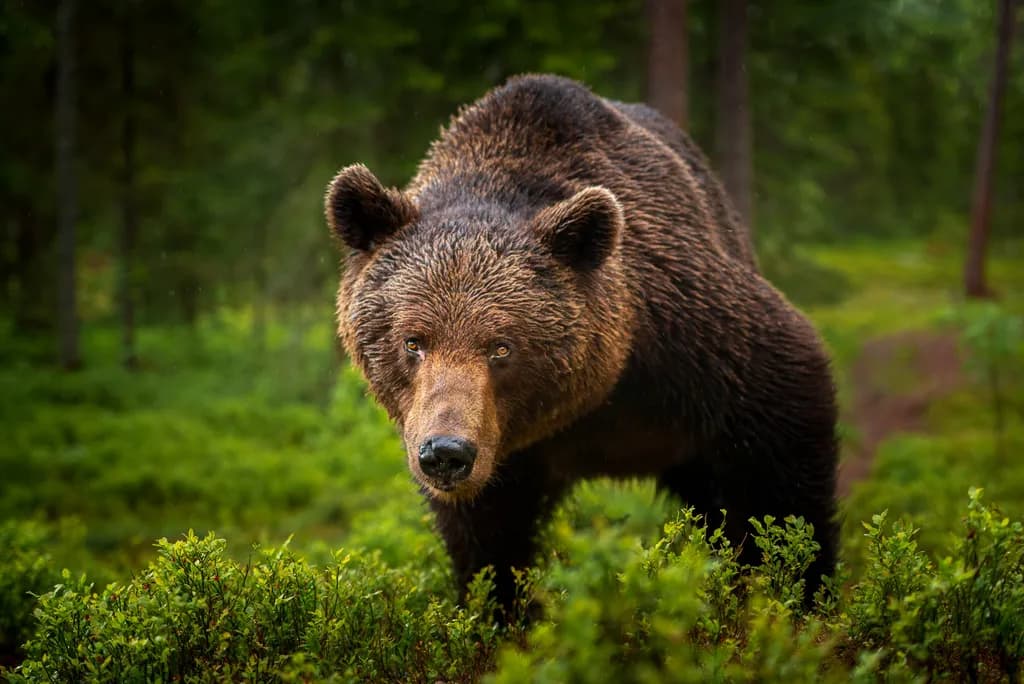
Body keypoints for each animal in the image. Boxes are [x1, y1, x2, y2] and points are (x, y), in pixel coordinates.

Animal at [325, 74, 838, 612]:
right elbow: (488, 536)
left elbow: (781, 444)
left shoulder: (692, 332)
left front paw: (796, 586)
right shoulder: (499, 451)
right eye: (413, 341)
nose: (446, 452)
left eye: (501, 346)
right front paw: (498, 604)